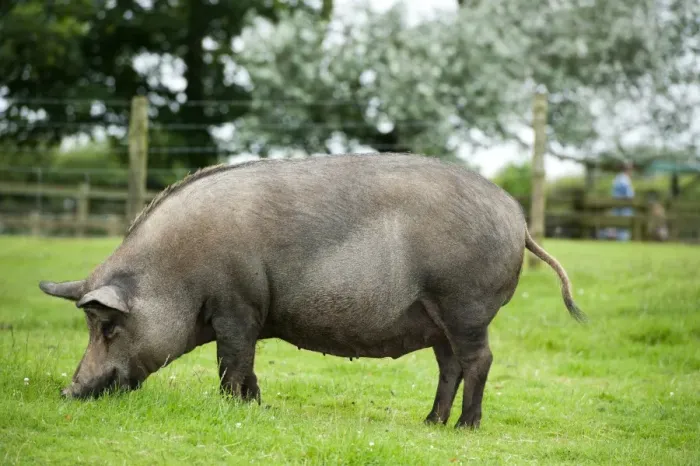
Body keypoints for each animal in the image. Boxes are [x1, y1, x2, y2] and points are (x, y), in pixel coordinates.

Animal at [39, 153, 585, 429]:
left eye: (108, 326)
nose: (69, 390)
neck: (176, 274)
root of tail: (517, 218)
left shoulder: (237, 307)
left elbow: (232, 362)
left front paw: (233, 409)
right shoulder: (248, 316)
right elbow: (248, 366)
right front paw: (257, 407)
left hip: (464, 304)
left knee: (480, 360)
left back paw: (465, 428)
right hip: (438, 319)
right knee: (450, 366)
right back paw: (430, 422)